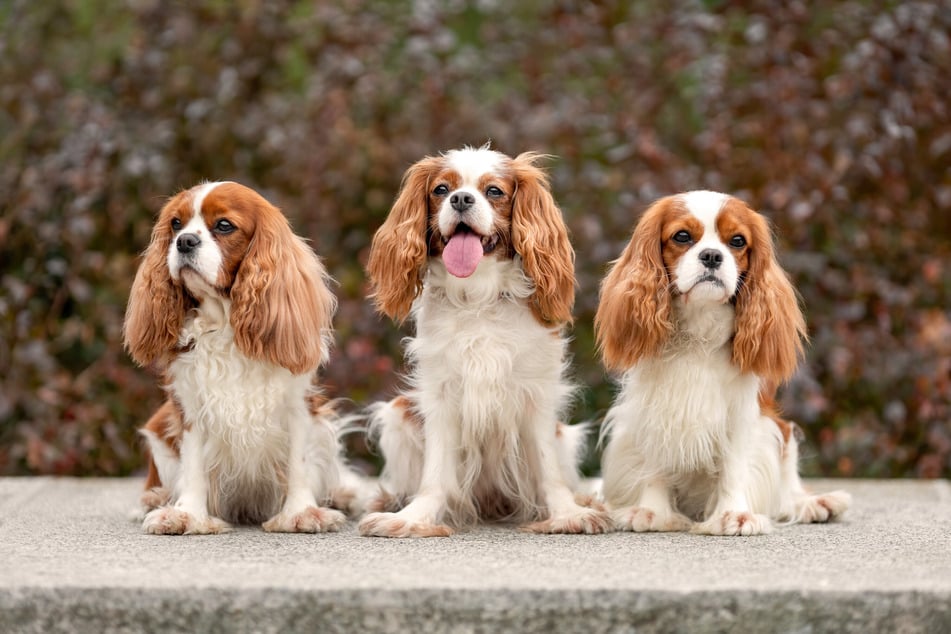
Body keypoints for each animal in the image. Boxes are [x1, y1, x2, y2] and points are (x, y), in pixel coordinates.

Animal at [356, 146, 608, 536]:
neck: (477, 297)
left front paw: (567, 513)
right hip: (398, 416)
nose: (461, 199)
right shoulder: (440, 396)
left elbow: (547, 469)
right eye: (441, 190)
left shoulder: (536, 396)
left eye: (494, 191)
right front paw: (414, 518)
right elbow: (436, 474)